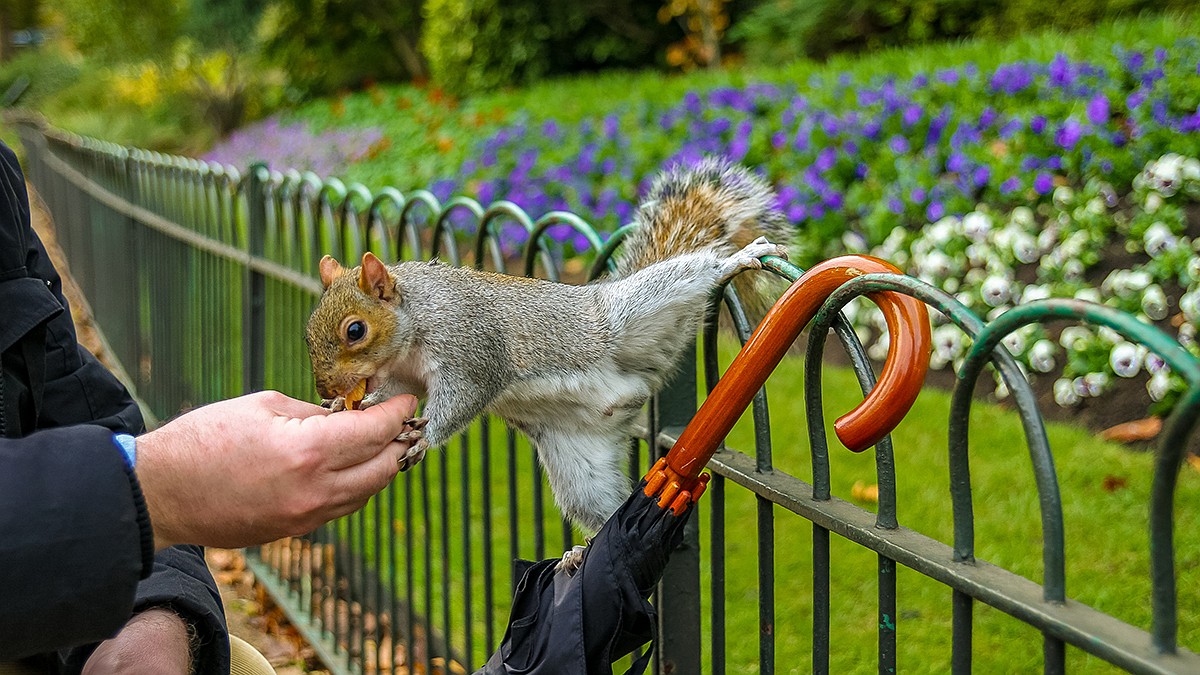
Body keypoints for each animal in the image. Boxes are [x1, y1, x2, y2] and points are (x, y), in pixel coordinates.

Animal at [304, 157, 792, 535]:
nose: (326, 389)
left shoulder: (470, 344)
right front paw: (347, 406)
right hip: (578, 465)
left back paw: (737, 259)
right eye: (309, 329)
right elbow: (392, 393)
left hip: (632, 310)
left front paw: (425, 435)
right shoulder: (401, 375)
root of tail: (631, 390)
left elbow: (465, 396)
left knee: (692, 274)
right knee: (603, 506)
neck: (413, 325)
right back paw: (586, 552)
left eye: (355, 331)